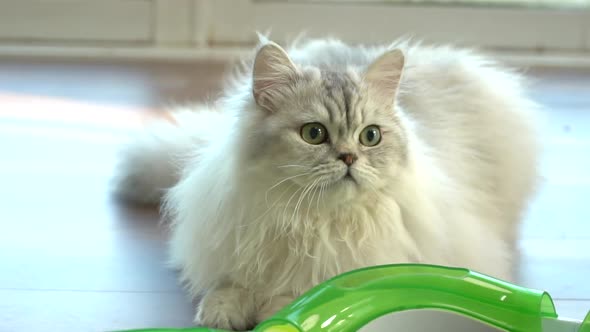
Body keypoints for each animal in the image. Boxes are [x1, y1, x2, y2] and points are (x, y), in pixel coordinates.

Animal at [111, 35, 540, 330]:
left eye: (370, 137)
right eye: (314, 134)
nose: (348, 158)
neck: (310, 222)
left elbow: (302, 294)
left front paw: (277, 312)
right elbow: (231, 284)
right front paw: (223, 312)